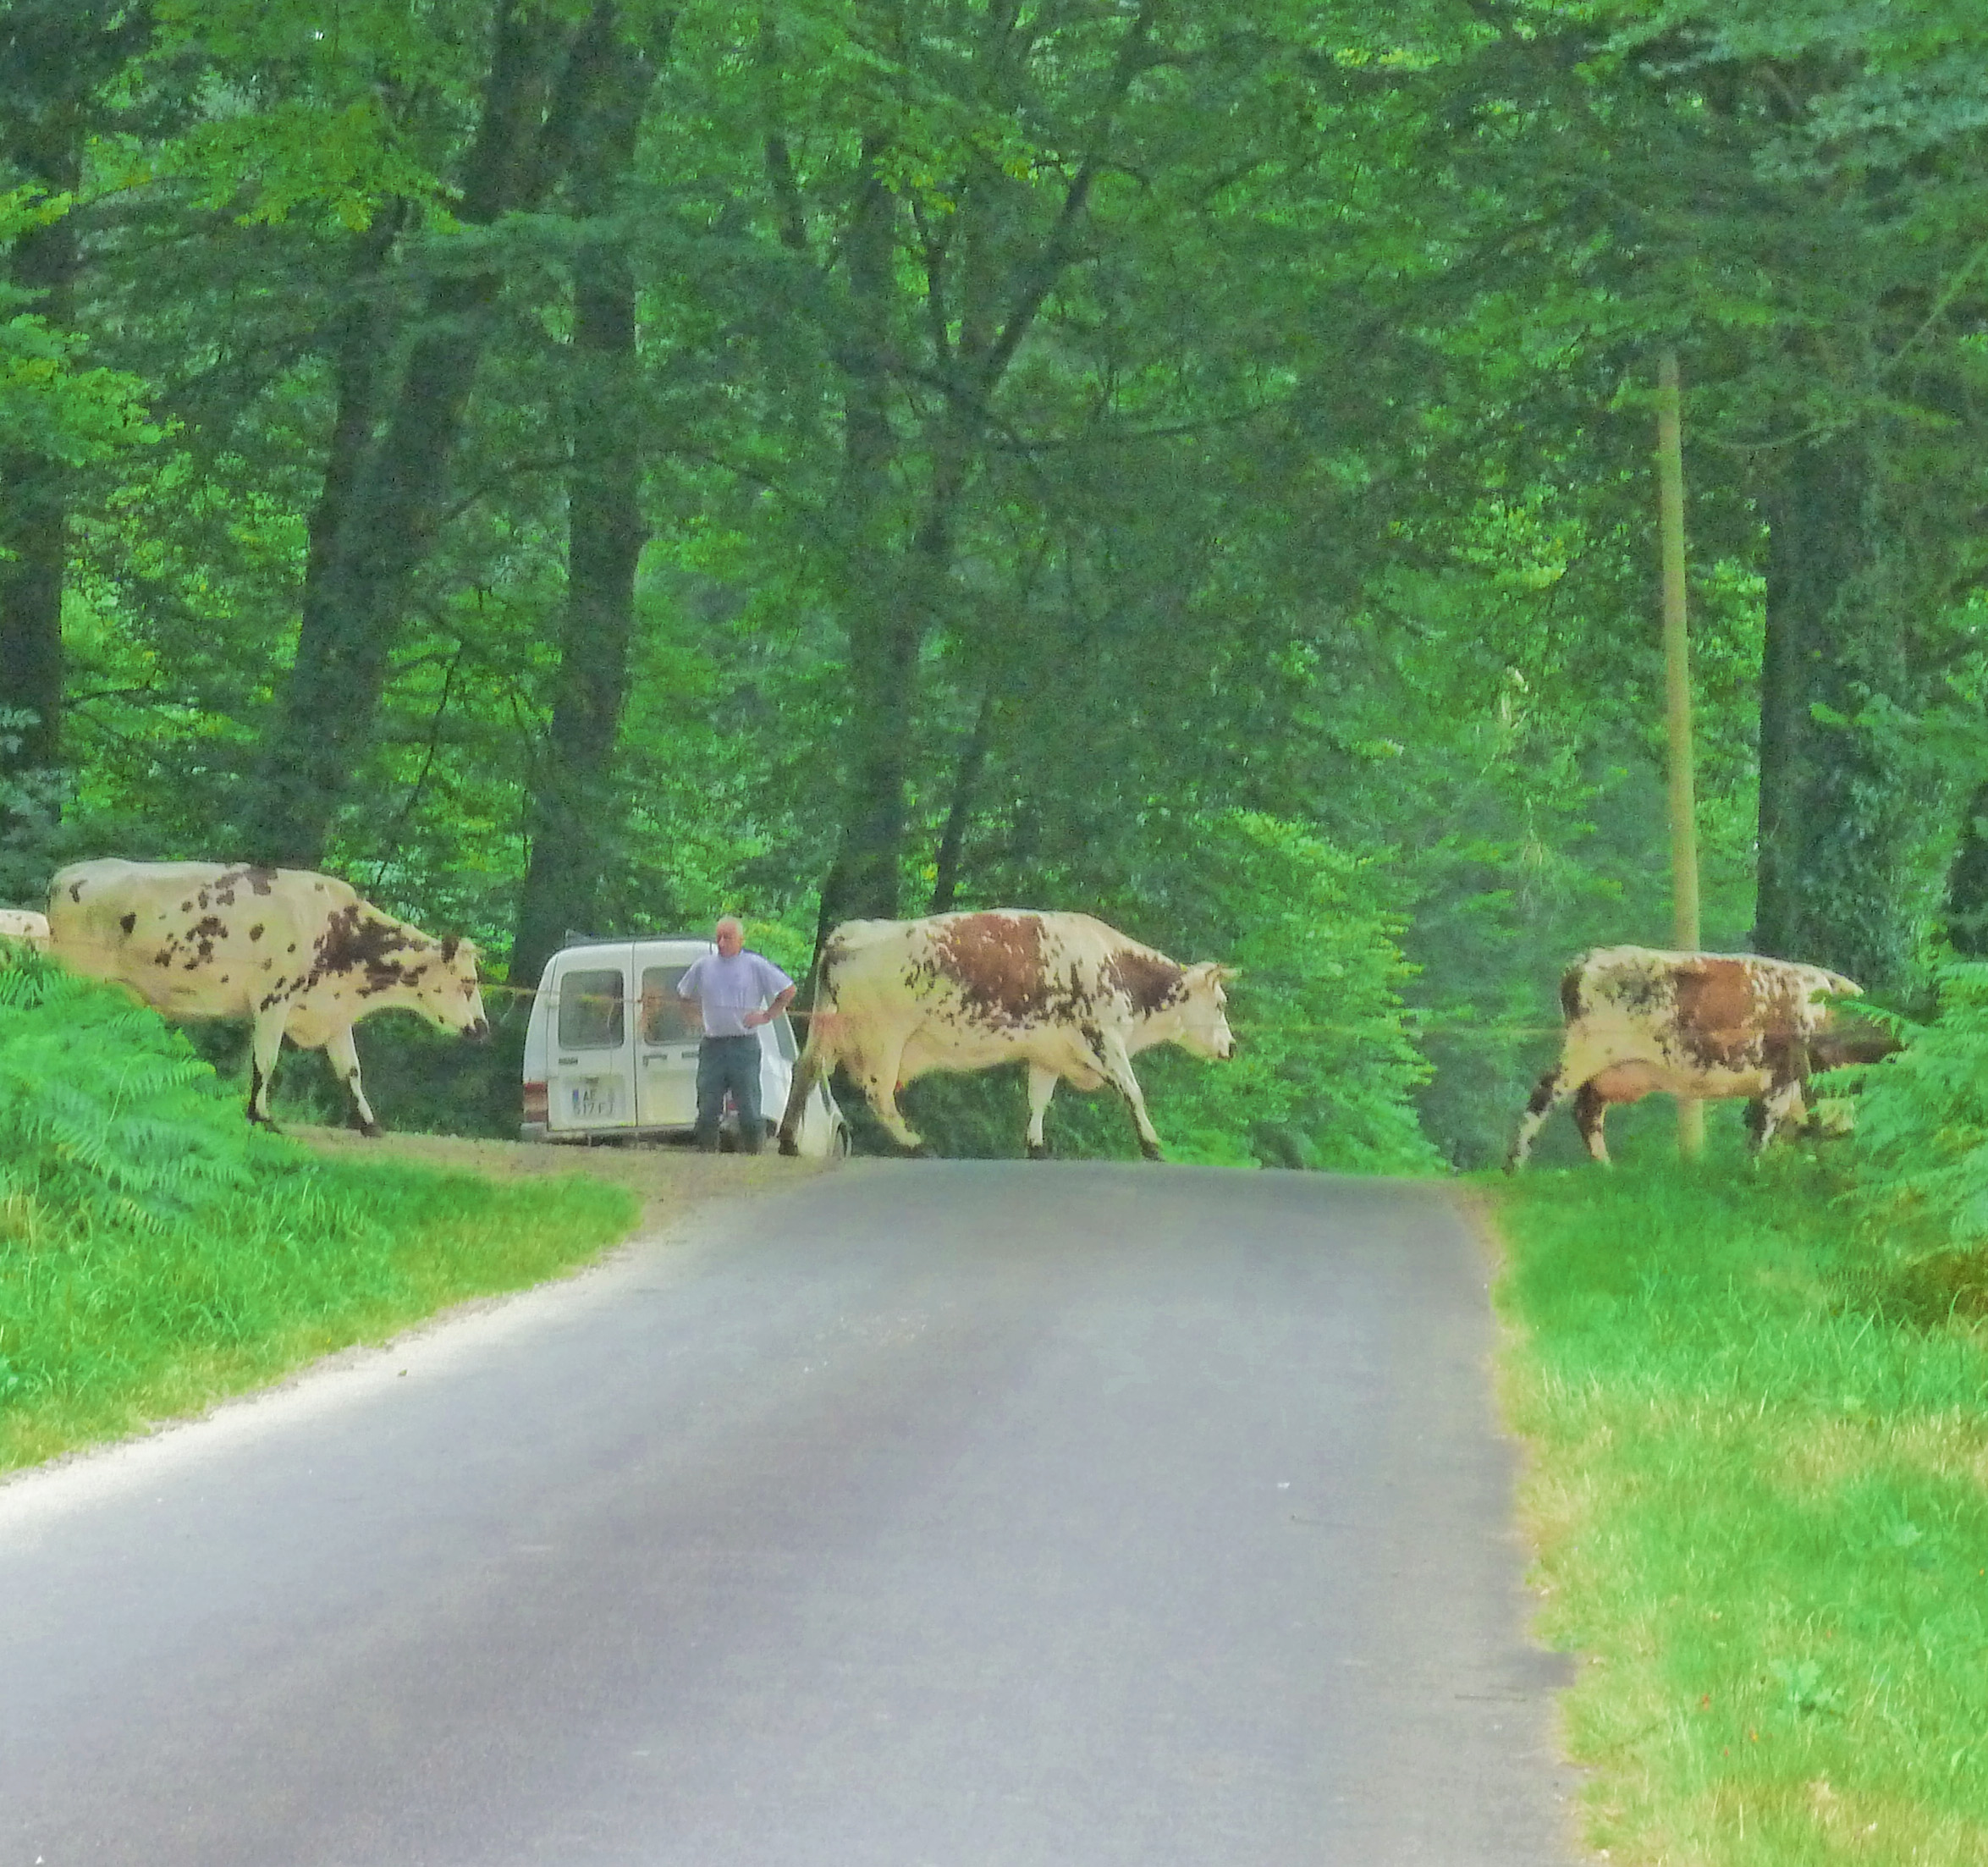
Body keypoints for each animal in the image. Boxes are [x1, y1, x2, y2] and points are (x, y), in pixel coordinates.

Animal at [46, 860, 488, 1137]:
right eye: (467, 982)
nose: (482, 1028)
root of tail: (68, 874)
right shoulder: (274, 999)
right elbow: (266, 1061)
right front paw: (260, 1116)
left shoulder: (333, 1014)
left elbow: (351, 1071)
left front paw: (369, 1124)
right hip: (78, 976)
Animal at [775, 910, 1237, 1161]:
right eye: (1220, 1003)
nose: (1231, 1047)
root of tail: (853, 932)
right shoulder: (1104, 1037)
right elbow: (1133, 1091)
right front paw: (1153, 1146)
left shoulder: (1049, 1053)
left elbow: (1038, 1101)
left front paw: (1036, 1147)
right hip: (885, 1036)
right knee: (879, 1094)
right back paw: (915, 1143)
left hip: (828, 1027)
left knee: (805, 1068)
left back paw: (788, 1141)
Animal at [1505, 944, 1896, 1170]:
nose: (1846, 1131)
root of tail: (1588, 959)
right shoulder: (1782, 1078)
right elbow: (1763, 1131)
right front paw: (1753, 1173)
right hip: (1583, 1054)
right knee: (1543, 1098)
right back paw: (1516, 1168)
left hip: (1609, 1071)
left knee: (1587, 1110)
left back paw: (1606, 1170)